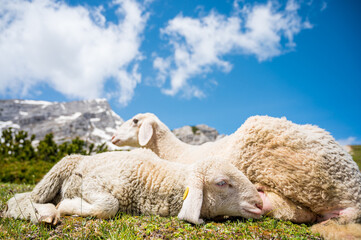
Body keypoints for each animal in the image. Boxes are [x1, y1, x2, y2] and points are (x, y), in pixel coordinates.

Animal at [2, 148, 262, 225]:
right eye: (222, 183)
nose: (260, 203)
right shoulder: (95, 183)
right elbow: (109, 205)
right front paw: (67, 206)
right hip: (60, 169)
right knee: (27, 198)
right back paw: (46, 212)